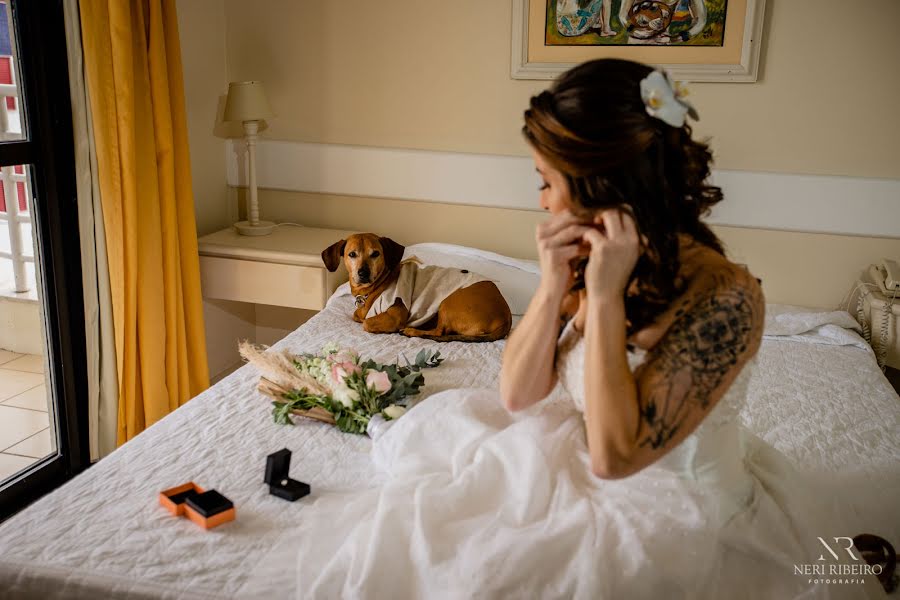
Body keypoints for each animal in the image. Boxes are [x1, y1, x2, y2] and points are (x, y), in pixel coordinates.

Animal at [324, 232, 510, 342]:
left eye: (375, 253)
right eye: (352, 254)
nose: (363, 273)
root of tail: (506, 316)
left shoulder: (396, 315)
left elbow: (367, 322)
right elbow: (357, 315)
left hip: (447, 303)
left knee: (439, 332)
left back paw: (411, 331)